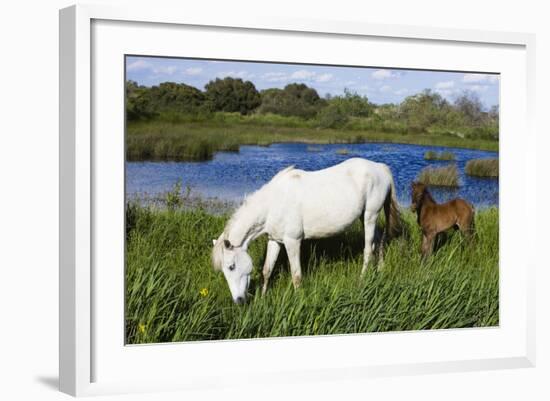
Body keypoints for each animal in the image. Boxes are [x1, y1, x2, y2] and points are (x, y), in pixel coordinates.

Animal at [212, 156, 402, 304]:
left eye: (231, 267)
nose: (238, 301)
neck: (273, 203)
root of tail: (380, 168)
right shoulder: (274, 240)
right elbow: (267, 270)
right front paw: (263, 298)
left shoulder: (293, 241)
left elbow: (296, 275)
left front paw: (298, 300)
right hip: (366, 217)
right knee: (378, 241)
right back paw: (380, 271)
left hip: (370, 215)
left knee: (368, 249)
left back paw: (361, 281)